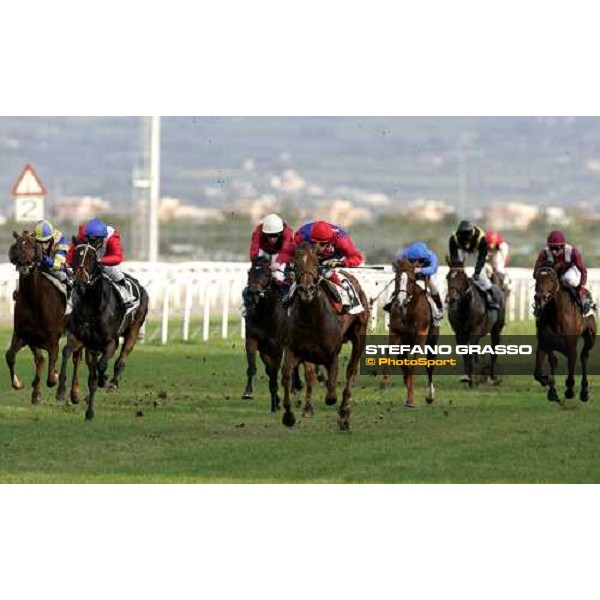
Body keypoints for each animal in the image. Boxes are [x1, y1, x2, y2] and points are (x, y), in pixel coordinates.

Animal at [6, 232, 67, 406]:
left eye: (32, 245)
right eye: (17, 245)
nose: (23, 263)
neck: (34, 301)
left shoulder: (53, 337)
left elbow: (51, 375)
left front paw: (54, 375)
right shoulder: (23, 334)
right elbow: (10, 356)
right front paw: (18, 383)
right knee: (40, 359)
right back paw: (37, 394)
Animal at [240, 255, 316, 414]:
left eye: (267, 275)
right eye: (249, 273)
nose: (254, 293)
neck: (264, 315)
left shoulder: (277, 346)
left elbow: (275, 372)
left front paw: (276, 403)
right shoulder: (253, 341)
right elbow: (255, 368)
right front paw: (249, 392)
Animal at [282, 241, 370, 428]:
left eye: (316, 263)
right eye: (295, 263)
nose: (306, 290)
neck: (312, 318)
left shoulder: (332, 355)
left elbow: (331, 395)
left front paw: (341, 409)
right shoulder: (296, 350)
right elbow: (288, 374)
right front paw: (290, 414)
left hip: (360, 335)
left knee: (351, 370)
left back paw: (344, 411)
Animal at [382, 258, 438, 408]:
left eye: (412, 280)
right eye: (397, 278)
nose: (400, 302)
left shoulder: (421, 337)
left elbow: (413, 368)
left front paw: (411, 399)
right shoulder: (395, 333)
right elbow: (391, 356)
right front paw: (385, 382)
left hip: (432, 341)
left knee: (430, 367)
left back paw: (430, 396)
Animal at [536, 268, 596, 404]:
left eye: (552, 280)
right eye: (537, 280)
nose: (540, 297)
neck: (558, 319)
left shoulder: (571, 348)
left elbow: (571, 368)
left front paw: (569, 391)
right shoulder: (543, 345)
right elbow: (539, 372)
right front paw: (549, 384)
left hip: (590, 338)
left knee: (584, 357)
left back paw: (584, 392)